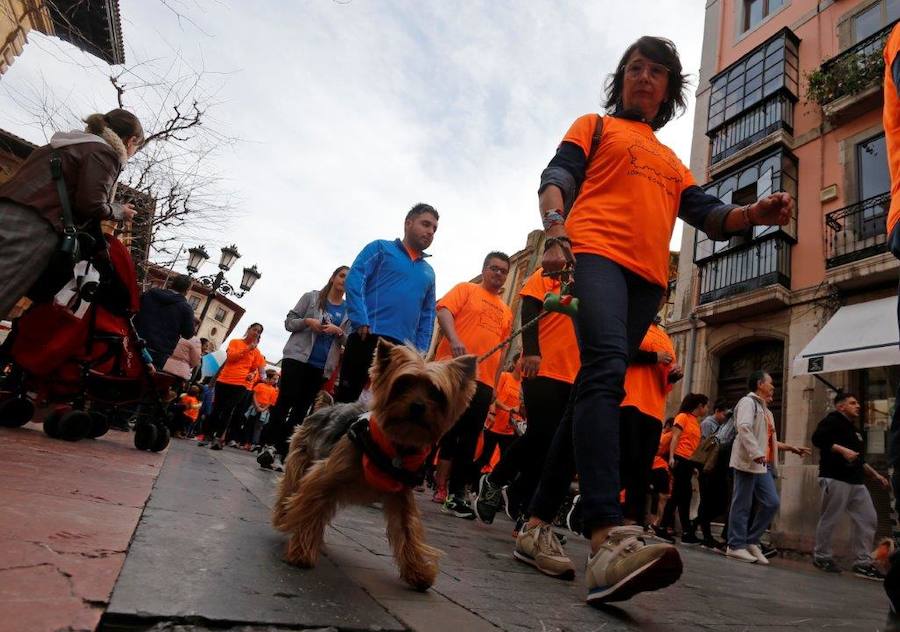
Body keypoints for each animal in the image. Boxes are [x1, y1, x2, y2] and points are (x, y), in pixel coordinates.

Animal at [270, 338, 474, 592]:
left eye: (436, 392)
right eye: (402, 384)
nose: (417, 406)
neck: (395, 447)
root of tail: (327, 406)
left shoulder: (401, 497)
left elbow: (408, 531)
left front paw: (418, 572)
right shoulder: (325, 477)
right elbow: (309, 506)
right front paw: (300, 553)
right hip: (301, 457)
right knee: (291, 487)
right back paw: (283, 515)